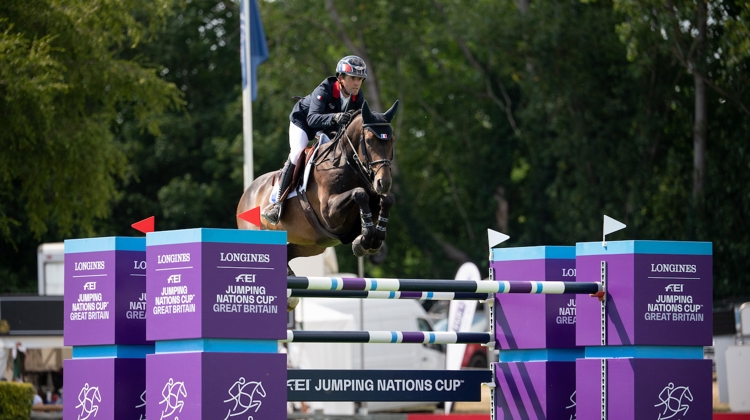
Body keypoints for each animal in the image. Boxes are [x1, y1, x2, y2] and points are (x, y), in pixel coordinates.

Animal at [236, 100, 400, 276]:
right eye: (369, 141)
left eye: (392, 140)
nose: (383, 182)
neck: (346, 162)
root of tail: (247, 193)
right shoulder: (329, 212)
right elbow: (359, 193)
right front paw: (365, 238)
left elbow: (387, 199)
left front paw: (367, 241)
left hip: (313, 245)